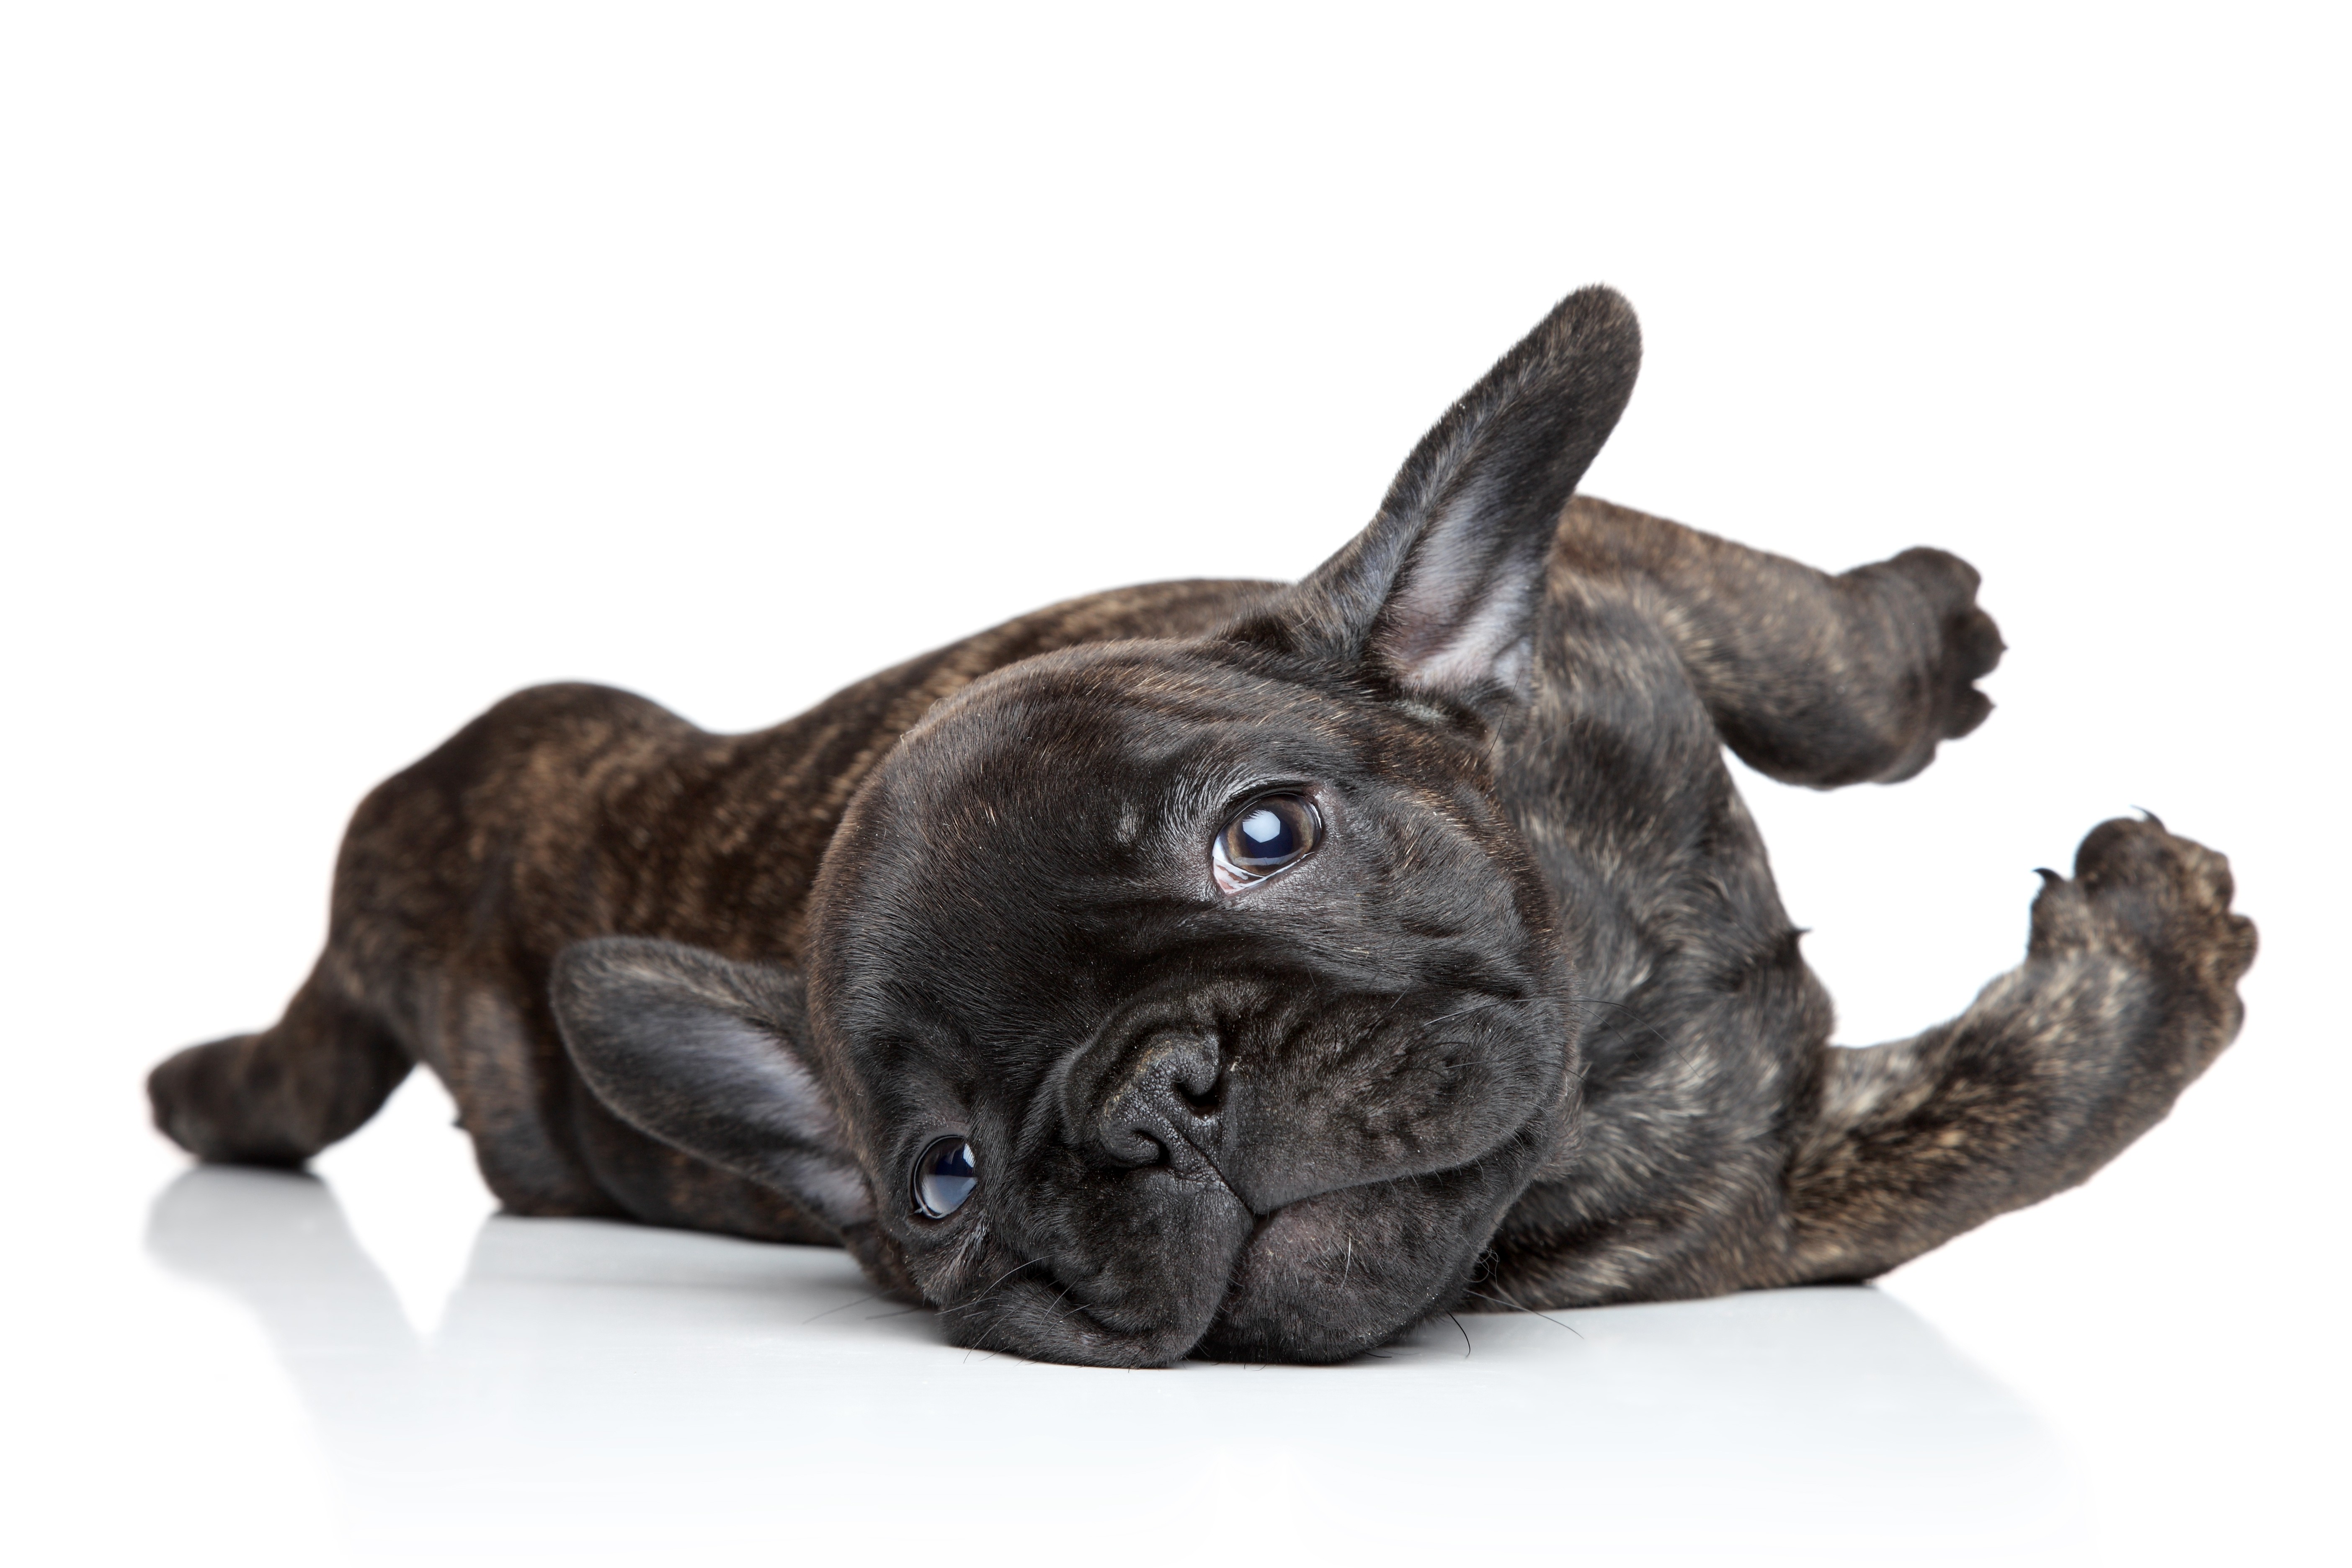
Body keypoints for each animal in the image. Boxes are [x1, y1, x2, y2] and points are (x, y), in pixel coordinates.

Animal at [152, 288, 2258, 1363]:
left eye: (1268, 834)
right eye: (943, 1175)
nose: (1146, 1097)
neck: (1615, 965)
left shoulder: (1600, 575)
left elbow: (1802, 645)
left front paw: (1924, 643)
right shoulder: (1767, 1200)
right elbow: (2025, 1115)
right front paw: (2158, 945)